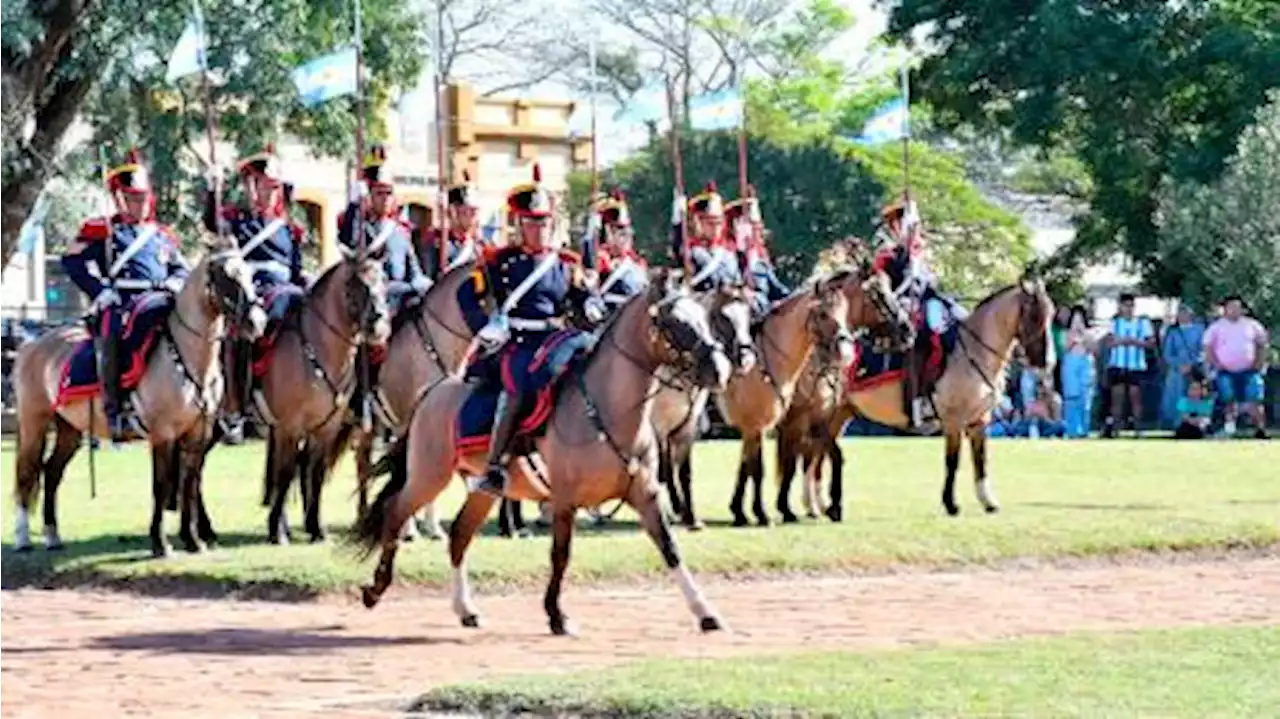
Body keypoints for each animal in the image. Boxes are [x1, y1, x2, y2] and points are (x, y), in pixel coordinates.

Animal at [258, 249, 389, 539]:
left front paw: (315, 527)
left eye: (383, 280)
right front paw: (276, 530)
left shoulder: (326, 427)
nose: (378, 323)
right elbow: (287, 472)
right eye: (354, 283)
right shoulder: (290, 426)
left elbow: (314, 472)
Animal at [350, 275, 737, 632]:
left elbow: (670, 548)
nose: (720, 370)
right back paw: (376, 588)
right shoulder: (564, 500)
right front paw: (556, 614)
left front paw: (705, 612)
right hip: (428, 476)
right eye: (677, 323)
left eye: (703, 318)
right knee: (395, 512)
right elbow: (560, 554)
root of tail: (433, 391)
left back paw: (465, 609)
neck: (607, 407)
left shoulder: (645, 494)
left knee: (459, 534)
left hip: (482, 489)